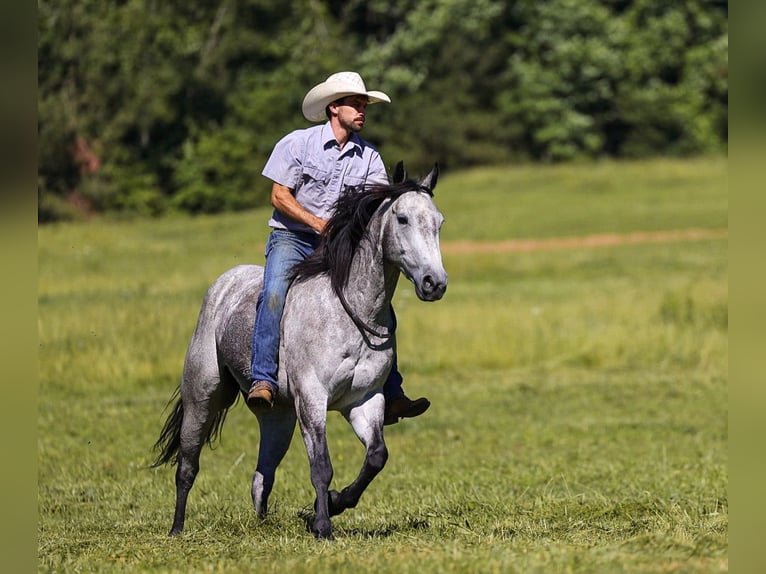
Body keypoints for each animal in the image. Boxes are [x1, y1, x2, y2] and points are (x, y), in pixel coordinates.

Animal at [152, 162, 447, 539]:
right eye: (403, 218)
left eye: (438, 221)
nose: (434, 283)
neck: (349, 311)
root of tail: (224, 283)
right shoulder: (312, 398)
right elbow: (321, 465)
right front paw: (323, 525)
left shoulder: (364, 401)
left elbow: (376, 457)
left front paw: (336, 502)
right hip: (202, 397)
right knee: (187, 464)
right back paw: (177, 529)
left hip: (278, 417)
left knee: (262, 475)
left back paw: (262, 524)